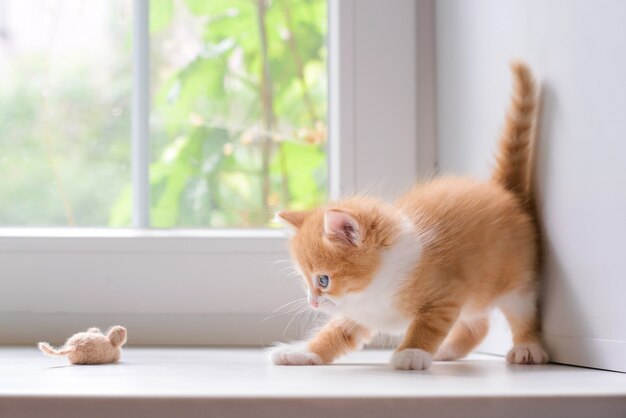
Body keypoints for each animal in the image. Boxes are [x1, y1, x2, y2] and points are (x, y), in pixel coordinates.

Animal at [268, 62, 544, 370]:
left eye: (323, 280)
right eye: (305, 280)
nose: (312, 303)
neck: (376, 288)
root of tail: (501, 190)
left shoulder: (445, 295)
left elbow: (428, 324)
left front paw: (412, 352)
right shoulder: (357, 313)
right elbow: (335, 333)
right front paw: (302, 351)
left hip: (515, 280)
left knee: (522, 312)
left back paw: (527, 347)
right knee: (478, 325)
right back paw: (447, 350)